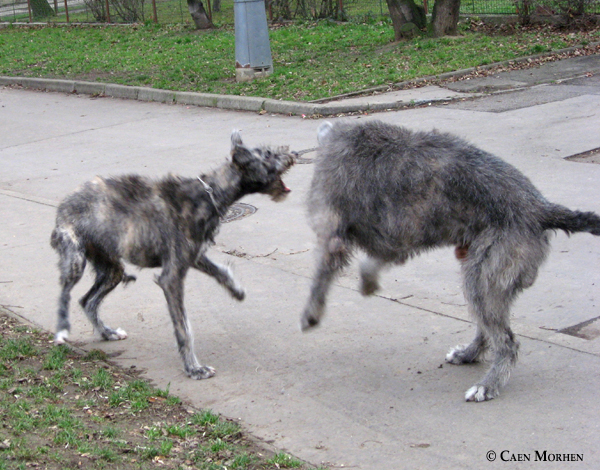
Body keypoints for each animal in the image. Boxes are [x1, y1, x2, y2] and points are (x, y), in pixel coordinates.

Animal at [51, 130, 296, 380]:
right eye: (268, 154)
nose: (294, 154)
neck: (208, 195)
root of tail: (65, 203)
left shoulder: (193, 255)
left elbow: (220, 270)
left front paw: (235, 290)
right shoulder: (172, 278)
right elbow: (184, 328)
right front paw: (194, 368)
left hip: (112, 269)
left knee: (88, 301)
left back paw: (107, 332)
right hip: (75, 259)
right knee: (66, 293)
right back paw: (62, 330)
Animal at [302, 119, 600, 402]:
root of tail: (540, 209)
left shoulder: (337, 232)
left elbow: (322, 274)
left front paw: (311, 314)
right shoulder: (396, 238)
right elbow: (379, 258)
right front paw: (368, 282)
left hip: (485, 271)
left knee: (507, 341)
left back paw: (487, 385)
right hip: (487, 274)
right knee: (487, 326)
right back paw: (469, 353)